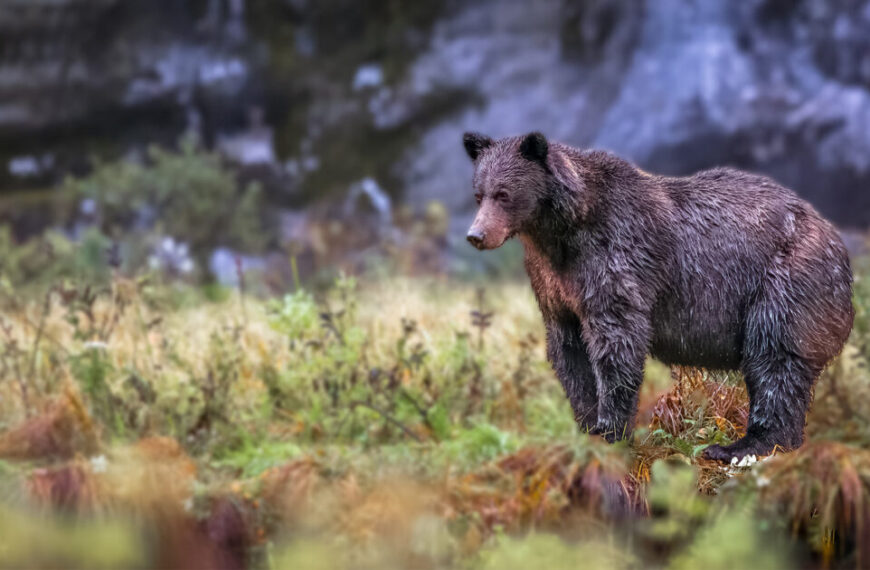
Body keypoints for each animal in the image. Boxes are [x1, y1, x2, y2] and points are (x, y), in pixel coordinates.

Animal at [462, 131, 854, 463]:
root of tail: (834, 237)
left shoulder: (616, 258)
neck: (561, 232)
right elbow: (569, 352)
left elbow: (617, 342)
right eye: (479, 194)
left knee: (775, 356)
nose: (476, 235)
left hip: (783, 281)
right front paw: (586, 426)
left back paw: (741, 446)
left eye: (504, 194)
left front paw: (611, 431)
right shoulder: (555, 284)